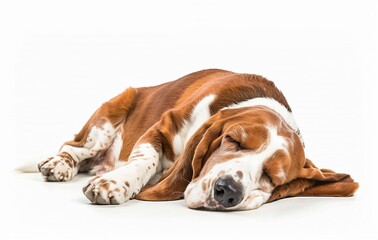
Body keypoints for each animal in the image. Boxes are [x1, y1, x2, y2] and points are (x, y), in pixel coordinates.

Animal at [37, 69, 358, 210]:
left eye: (273, 176)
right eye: (233, 140)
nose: (227, 192)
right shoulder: (162, 126)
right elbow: (144, 159)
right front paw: (114, 184)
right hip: (104, 123)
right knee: (73, 148)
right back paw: (59, 165)